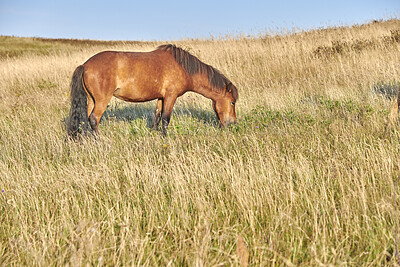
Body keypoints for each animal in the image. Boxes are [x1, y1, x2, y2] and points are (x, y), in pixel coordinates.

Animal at [67, 43, 239, 138]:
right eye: (232, 102)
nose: (232, 123)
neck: (183, 68)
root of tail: (85, 65)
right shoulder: (170, 96)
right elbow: (166, 118)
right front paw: (164, 137)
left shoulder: (161, 98)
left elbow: (156, 116)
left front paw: (154, 134)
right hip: (102, 100)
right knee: (94, 119)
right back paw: (99, 141)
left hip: (92, 100)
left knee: (87, 119)